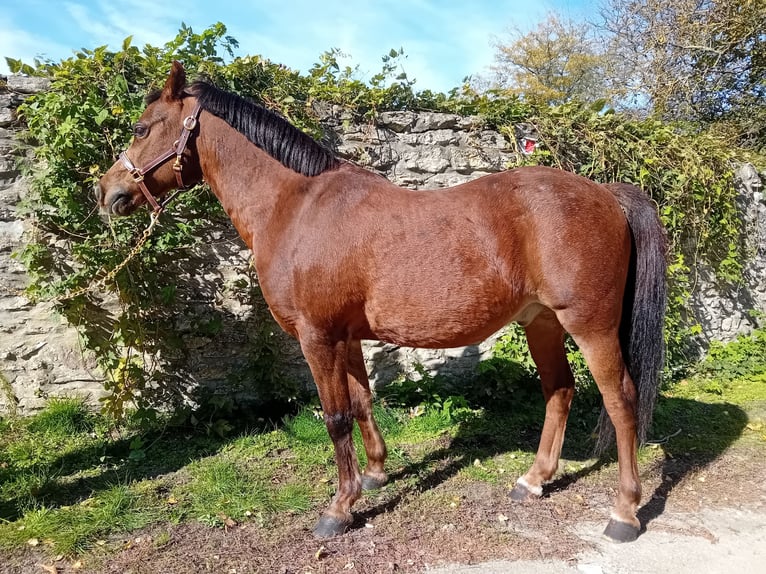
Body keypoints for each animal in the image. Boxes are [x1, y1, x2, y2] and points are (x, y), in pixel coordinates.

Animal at [96, 62, 668, 544]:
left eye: (143, 129)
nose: (107, 192)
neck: (296, 206)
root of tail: (607, 194)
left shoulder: (317, 337)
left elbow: (334, 417)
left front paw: (338, 509)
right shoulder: (345, 338)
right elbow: (362, 403)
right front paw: (373, 476)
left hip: (590, 326)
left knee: (621, 400)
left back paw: (624, 512)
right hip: (541, 323)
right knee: (559, 391)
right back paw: (533, 481)